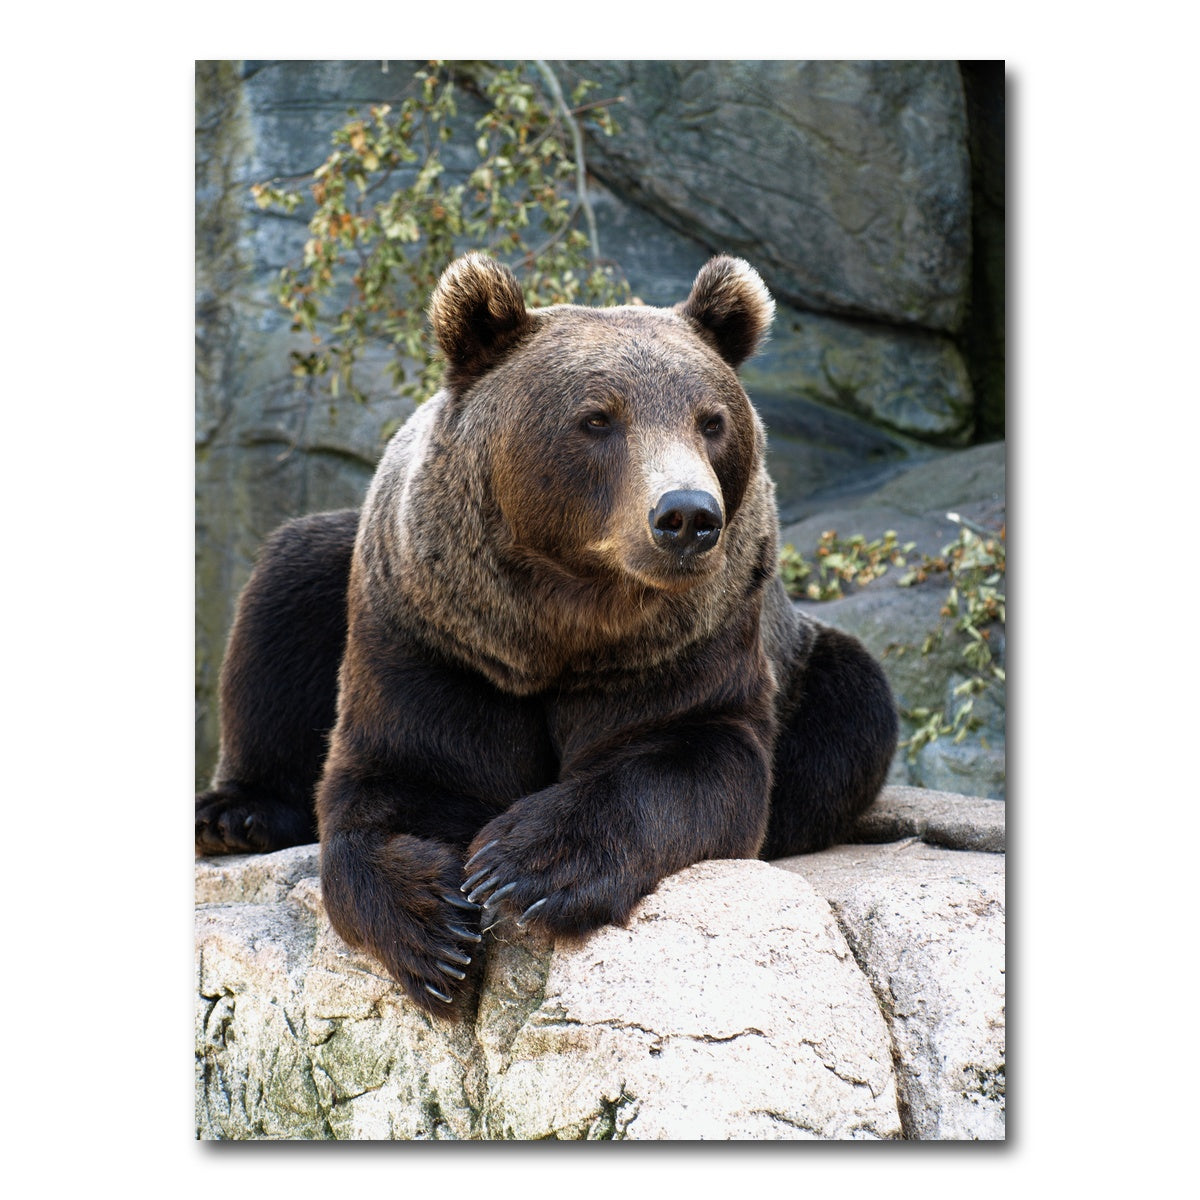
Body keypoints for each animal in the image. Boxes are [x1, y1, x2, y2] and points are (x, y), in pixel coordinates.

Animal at [195, 252, 898, 1017]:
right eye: (597, 418)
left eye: (711, 421)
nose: (686, 515)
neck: (559, 625)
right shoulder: (434, 637)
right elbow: (398, 776)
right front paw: (434, 929)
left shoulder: (685, 645)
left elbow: (693, 758)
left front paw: (524, 866)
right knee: (287, 587)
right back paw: (237, 814)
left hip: (804, 663)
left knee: (853, 708)